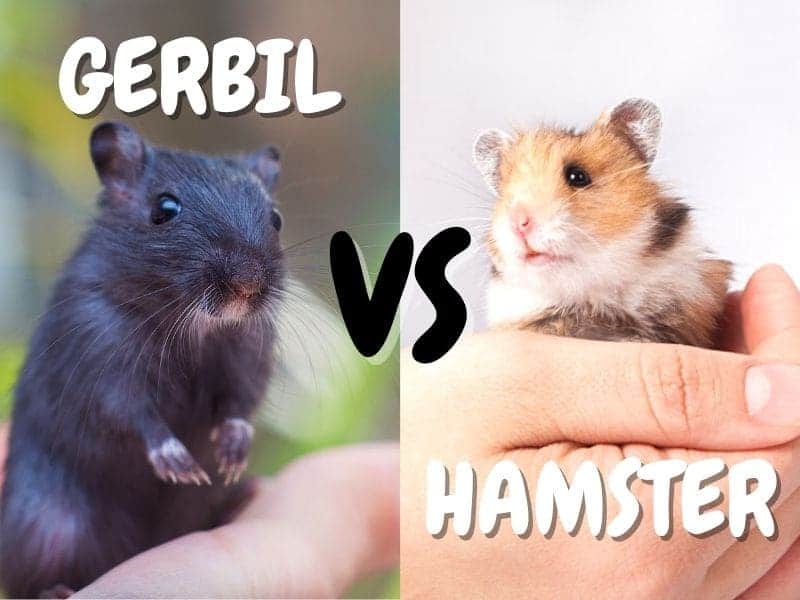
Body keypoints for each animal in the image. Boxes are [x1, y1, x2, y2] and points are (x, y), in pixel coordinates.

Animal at [0, 122, 285, 598]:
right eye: (163, 209)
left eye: (276, 219)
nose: (247, 287)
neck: (194, 328)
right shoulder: (101, 357)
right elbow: (133, 413)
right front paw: (183, 469)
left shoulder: (247, 354)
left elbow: (239, 404)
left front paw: (230, 459)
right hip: (48, 525)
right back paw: (59, 590)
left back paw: (243, 492)